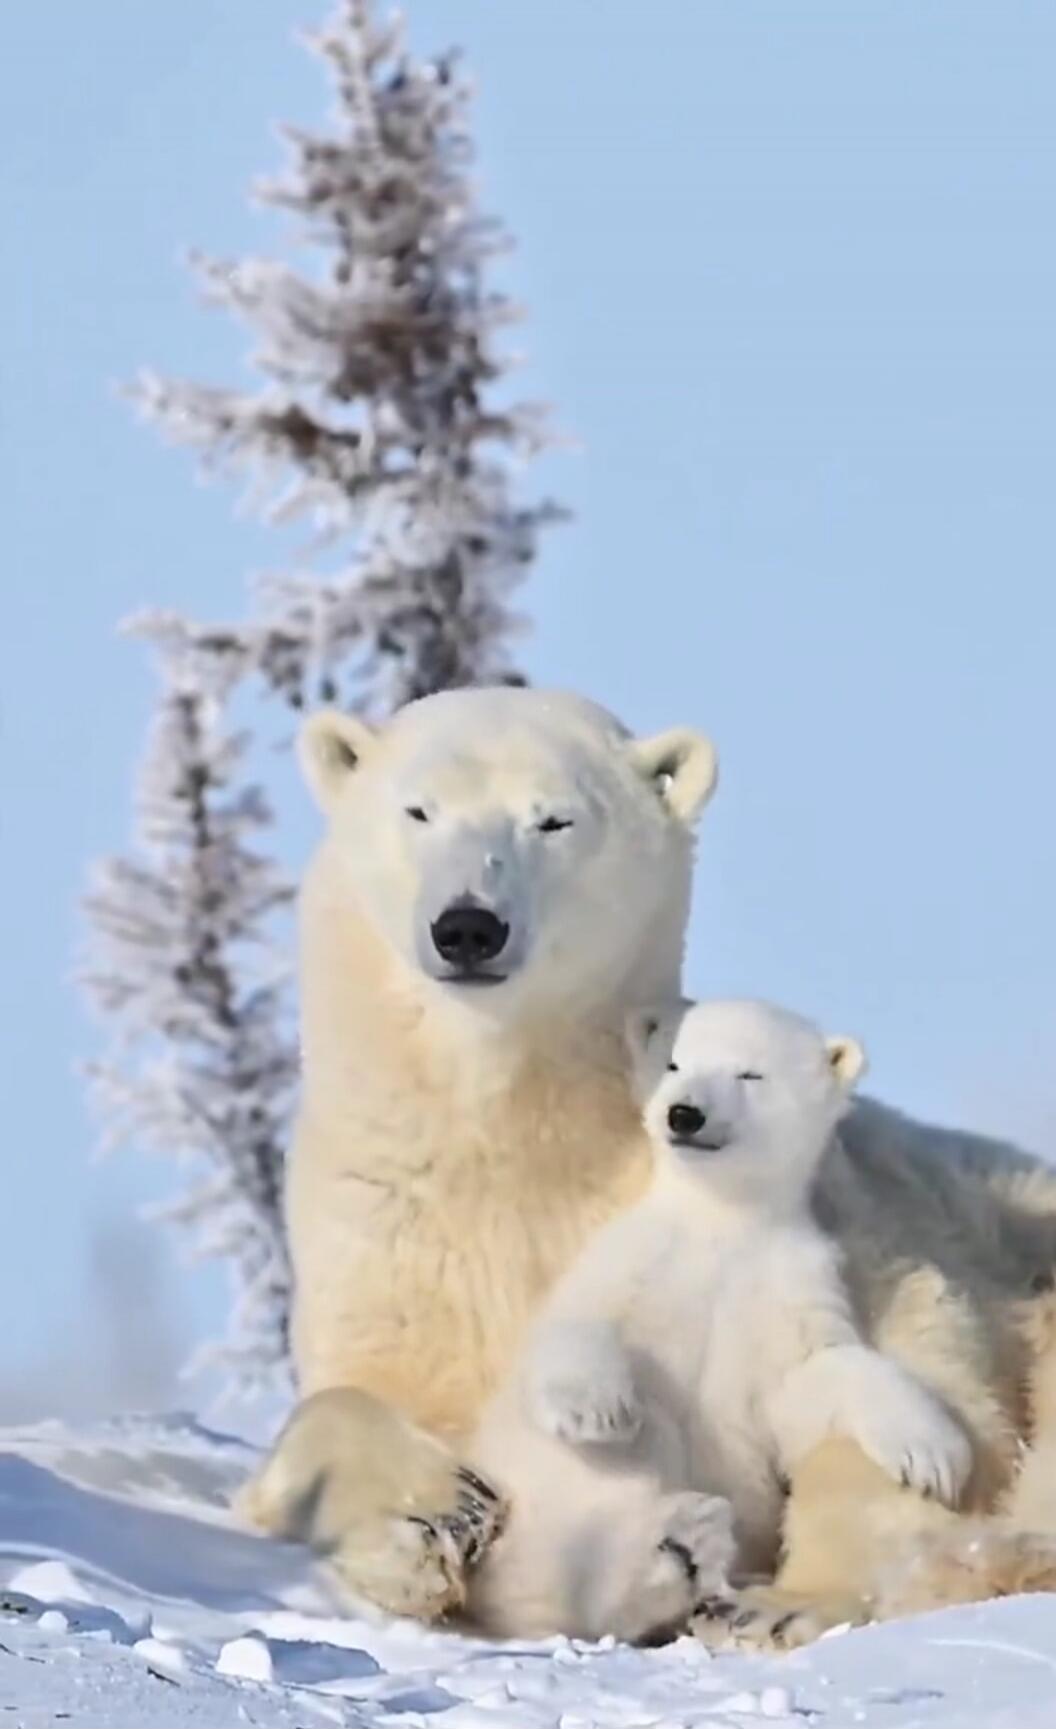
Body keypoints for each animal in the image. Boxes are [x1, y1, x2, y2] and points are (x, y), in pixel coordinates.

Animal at [464, 998, 972, 1642]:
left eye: (749, 1074)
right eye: (674, 1062)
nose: (685, 1114)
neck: (721, 1220)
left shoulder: (787, 1286)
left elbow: (820, 1373)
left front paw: (934, 1457)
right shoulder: (640, 1258)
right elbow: (582, 1323)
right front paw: (597, 1412)